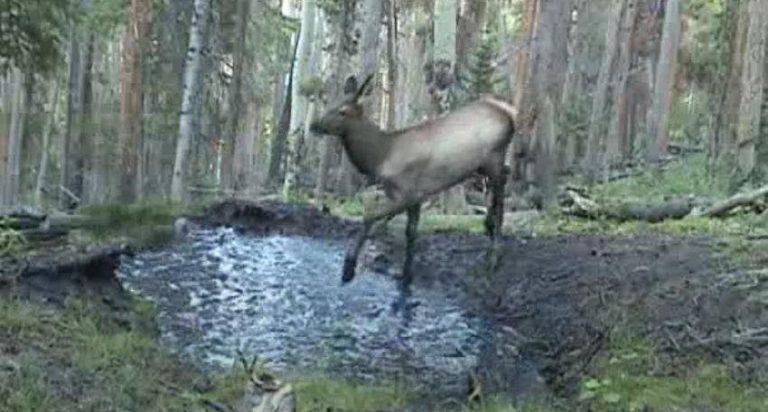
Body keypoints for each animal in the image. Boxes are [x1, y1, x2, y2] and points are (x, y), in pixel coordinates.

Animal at [310, 74, 517, 289]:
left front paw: (348, 268)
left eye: (343, 111)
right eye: (330, 103)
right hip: (485, 167)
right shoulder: (418, 196)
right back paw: (489, 231)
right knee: (494, 195)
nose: (314, 124)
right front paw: (406, 276)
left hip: (494, 158)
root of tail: (510, 113)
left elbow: (370, 215)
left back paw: (494, 254)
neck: (380, 157)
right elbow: (411, 232)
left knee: (500, 198)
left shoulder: (405, 193)